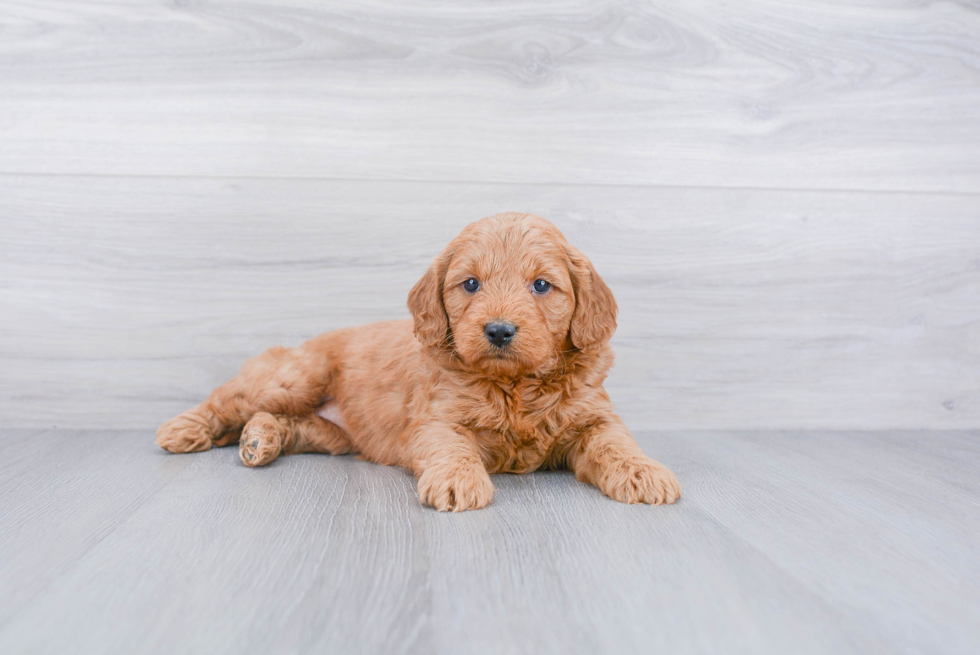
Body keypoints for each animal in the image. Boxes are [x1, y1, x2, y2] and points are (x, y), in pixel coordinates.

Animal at [161, 213, 680, 510]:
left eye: (541, 285)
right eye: (470, 284)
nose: (498, 330)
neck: (514, 385)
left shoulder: (593, 416)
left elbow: (616, 442)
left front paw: (644, 472)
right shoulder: (436, 419)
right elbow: (451, 446)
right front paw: (457, 481)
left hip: (333, 435)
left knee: (289, 424)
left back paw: (260, 440)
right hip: (297, 377)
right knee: (229, 400)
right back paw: (185, 429)